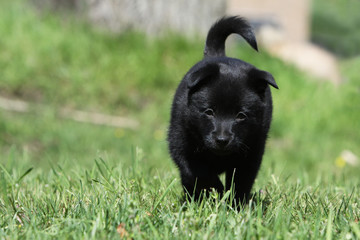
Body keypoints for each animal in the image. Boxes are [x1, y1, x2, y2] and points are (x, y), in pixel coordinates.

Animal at [167, 15, 278, 204]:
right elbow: (200, 173)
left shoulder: (252, 152)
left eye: (241, 116)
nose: (222, 139)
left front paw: (235, 204)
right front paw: (216, 193)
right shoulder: (181, 144)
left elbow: (241, 182)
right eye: (209, 112)